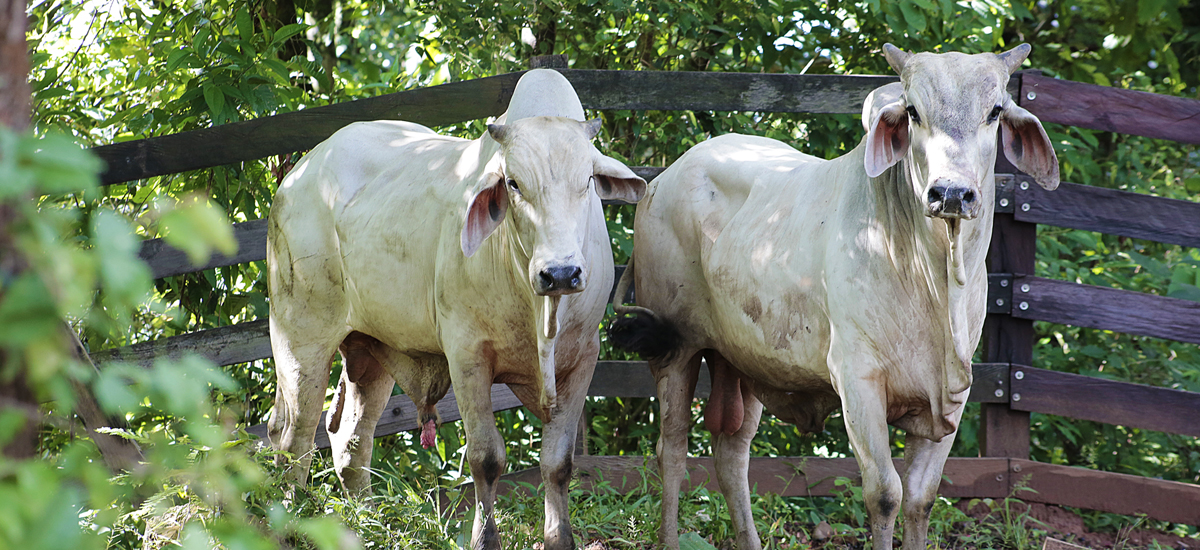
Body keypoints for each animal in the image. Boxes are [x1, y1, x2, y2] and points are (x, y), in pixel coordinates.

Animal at [268, 68, 652, 550]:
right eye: (514, 183)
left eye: (586, 182)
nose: (561, 273)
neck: (540, 311)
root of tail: (300, 172)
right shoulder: (468, 356)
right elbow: (487, 459)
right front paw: (484, 539)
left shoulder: (584, 358)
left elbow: (558, 462)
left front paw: (559, 538)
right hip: (300, 338)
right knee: (294, 440)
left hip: (367, 348)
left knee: (351, 439)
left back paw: (367, 524)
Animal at [609, 45, 1060, 547]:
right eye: (913, 111)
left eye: (995, 111)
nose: (951, 193)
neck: (935, 281)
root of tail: (661, 178)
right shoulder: (858, 381)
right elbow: (885, 494)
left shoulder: (953, 396)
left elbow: (921, 498)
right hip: (676, 350)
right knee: (671, 449)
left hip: (745, 360)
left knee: (731, 456)